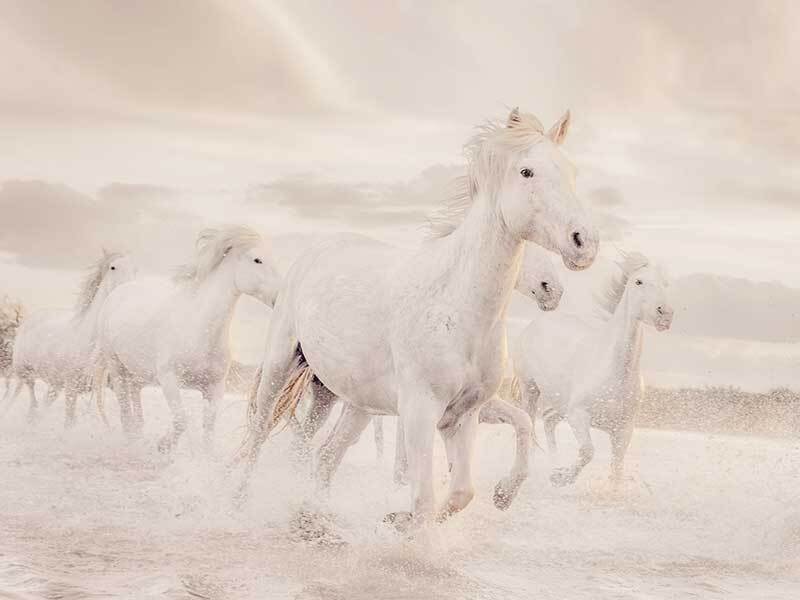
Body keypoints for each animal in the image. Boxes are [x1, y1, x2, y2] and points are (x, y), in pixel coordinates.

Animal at [6, 251, 136, 425]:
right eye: (113, 267)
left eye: (135, 268)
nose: (128, 290)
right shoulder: (70, 388)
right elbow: (69, 422)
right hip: (26, 373)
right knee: (33, 400)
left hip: (55, 384)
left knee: (43, 404)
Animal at [91, 226, 281, 452]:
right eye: (257, 260)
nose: (280, 296)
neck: (200, 330)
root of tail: (120, 291)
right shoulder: (169, 379)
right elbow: (181, 421)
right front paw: (163, 445)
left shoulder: (215, 387)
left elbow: (208, 430)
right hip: (116, 367)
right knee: (124, 410)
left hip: (136, 374)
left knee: (136, 406)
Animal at [232, 106, 599, 529]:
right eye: (527, 172)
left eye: (572, 171)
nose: (584, 244)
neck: (456, 307)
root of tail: (320, 248)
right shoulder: (421, 412)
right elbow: (424, 498)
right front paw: (408, 526)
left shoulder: (463, 415)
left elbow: (462, 491)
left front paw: (493, 497)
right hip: (281, 363)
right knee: (259, 431)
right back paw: (237, 501)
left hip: (355, 402)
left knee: (325, 457)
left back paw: (313, 515)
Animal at [514, 251, 673, 487]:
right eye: (639, 281)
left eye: (666, 283)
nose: (665, 314)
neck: (615, 372)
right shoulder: (578, 415)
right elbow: (588, 451)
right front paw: (562, 478)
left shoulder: (624, 429)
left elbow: (616, 468)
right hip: (530, 389)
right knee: (531, 424)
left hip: (561, 403)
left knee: (549, 420)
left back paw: (554, 463)